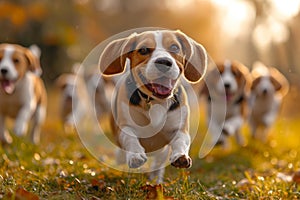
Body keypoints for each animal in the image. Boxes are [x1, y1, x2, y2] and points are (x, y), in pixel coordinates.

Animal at [98, 30, 206, 183]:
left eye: (174, 47)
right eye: (143, 50)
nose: (164, 62)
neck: (155, 101)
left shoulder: (180, 129)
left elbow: (181, 141)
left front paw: (181, 156)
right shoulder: (125, 127)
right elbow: (130, 138)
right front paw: (135, 155)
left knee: (158, 164)